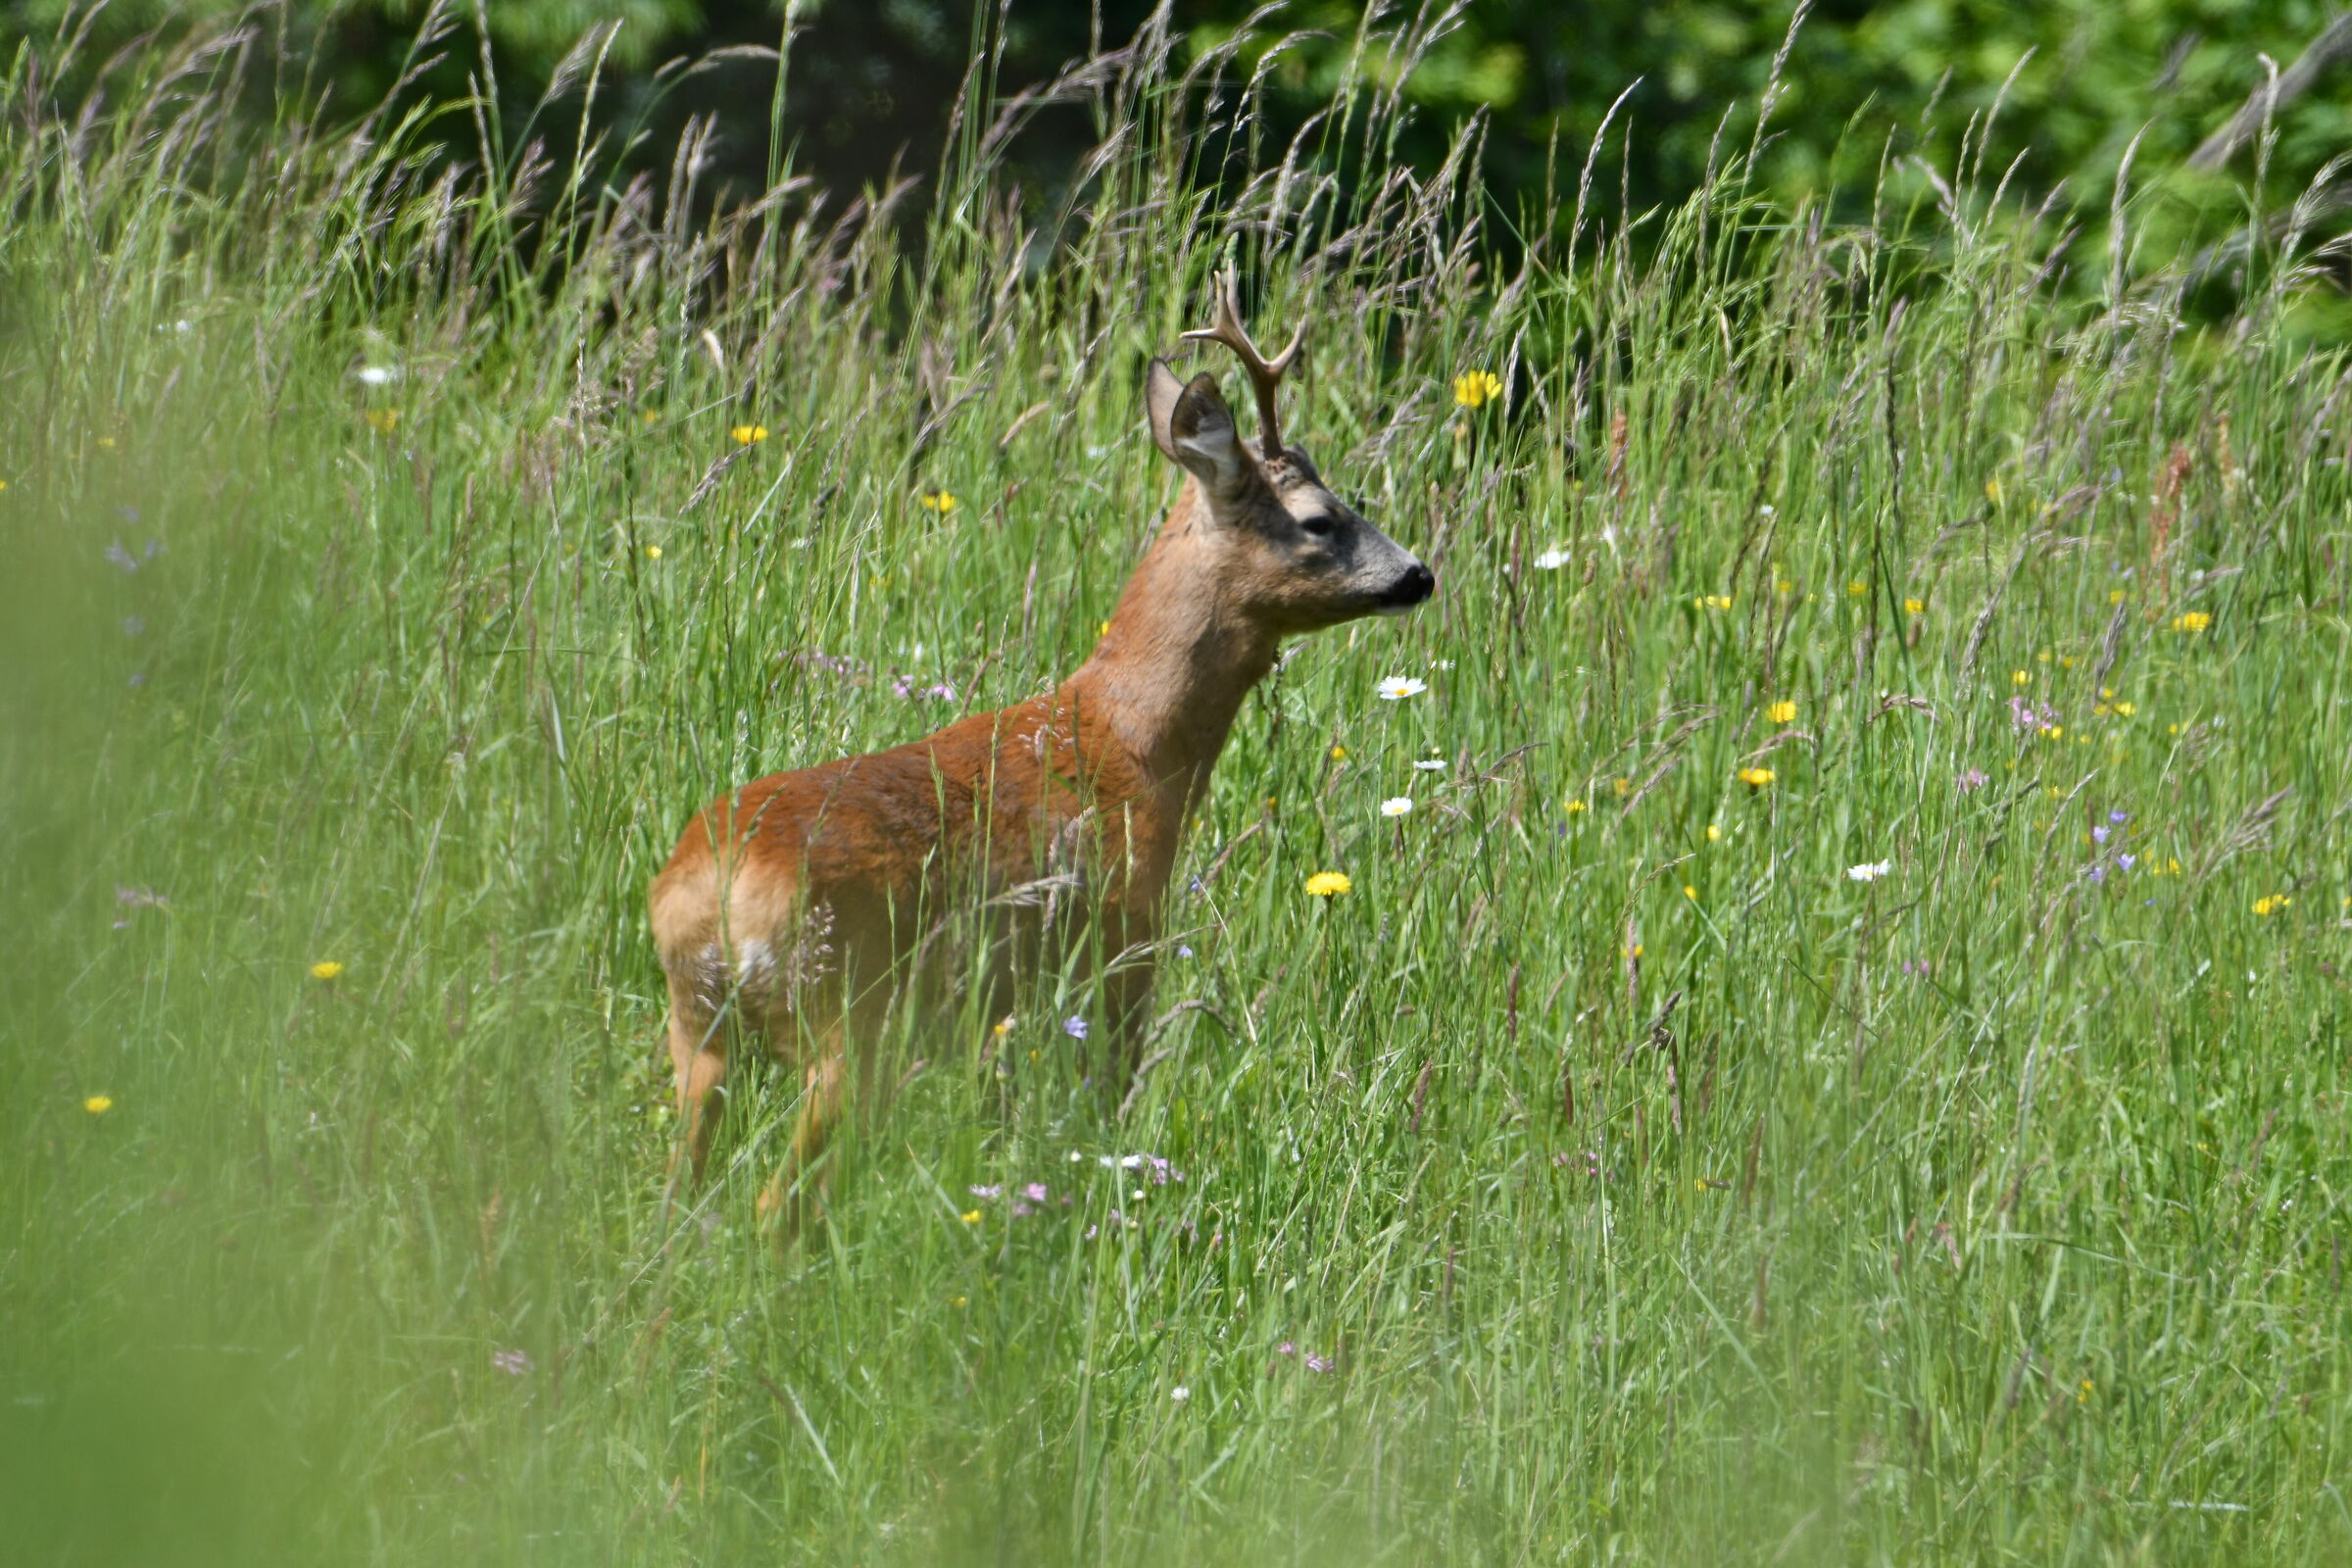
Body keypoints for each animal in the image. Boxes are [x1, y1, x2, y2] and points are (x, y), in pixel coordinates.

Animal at [648, 274, 1436, 1247]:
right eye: (1322, 521)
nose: (1418, 574)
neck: (1130, 741)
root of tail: (713, 894)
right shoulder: (1119, 944)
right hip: (852, 1023)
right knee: (774, 1207)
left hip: (697, 1033)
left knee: (676, 1197)